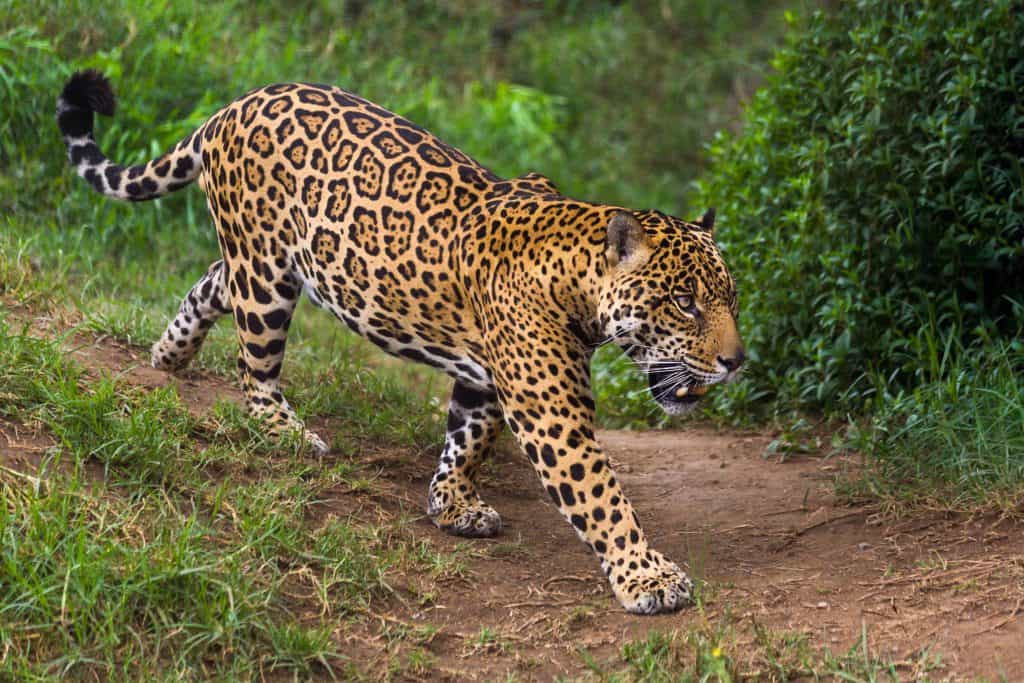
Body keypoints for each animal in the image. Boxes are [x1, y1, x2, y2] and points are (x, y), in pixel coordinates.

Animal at [57, 70, 745, 614]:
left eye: (730, 299)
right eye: (684, 302)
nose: (735, 362)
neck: (574, 276)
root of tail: (233, 106)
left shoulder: (482, 376)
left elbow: (467, 440)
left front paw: (453, 504)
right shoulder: (551, 412)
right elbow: (602, 497)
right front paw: (647, 578)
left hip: (262, 262)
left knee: (212, 281)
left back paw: (169, 354)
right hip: (268, 274)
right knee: (255, 367)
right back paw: (285, 432)